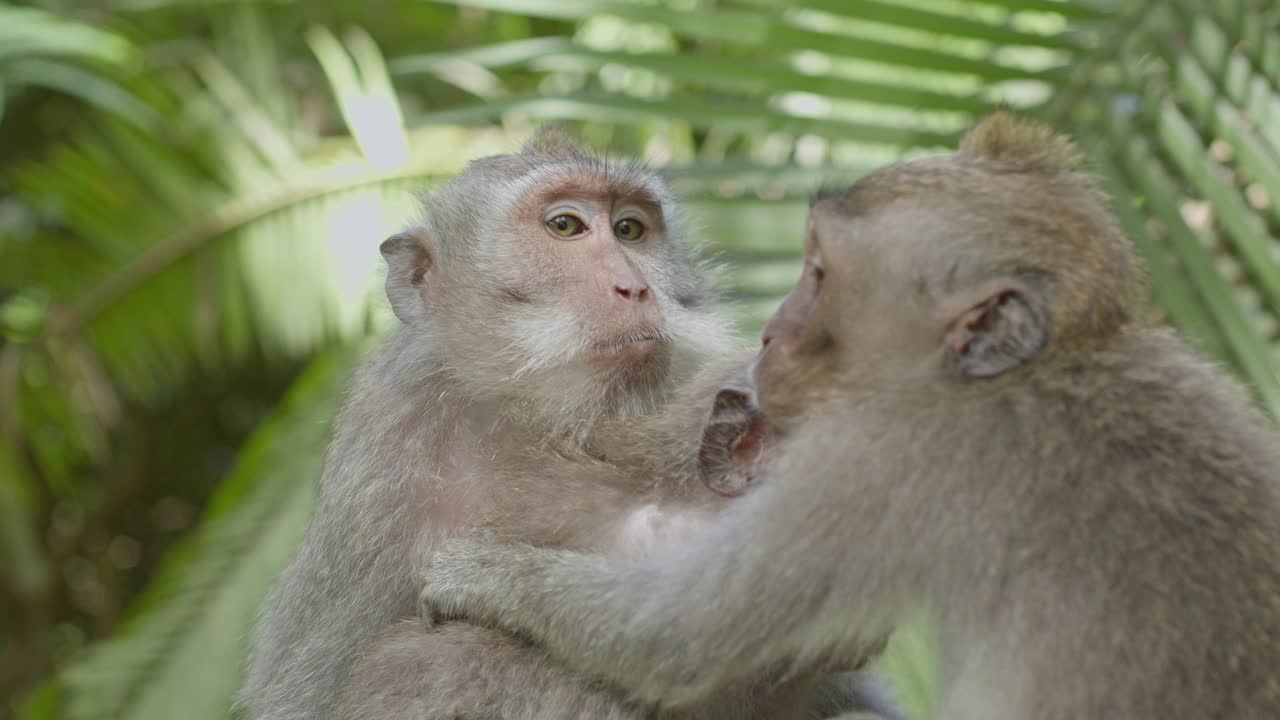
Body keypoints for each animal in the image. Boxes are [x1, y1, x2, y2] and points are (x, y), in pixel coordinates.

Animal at [417, 113, 1280, 717]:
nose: (771, 331)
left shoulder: (874, 458)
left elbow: (673, 638)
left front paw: (479, 573)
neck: (1045, 367)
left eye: (820, 276)